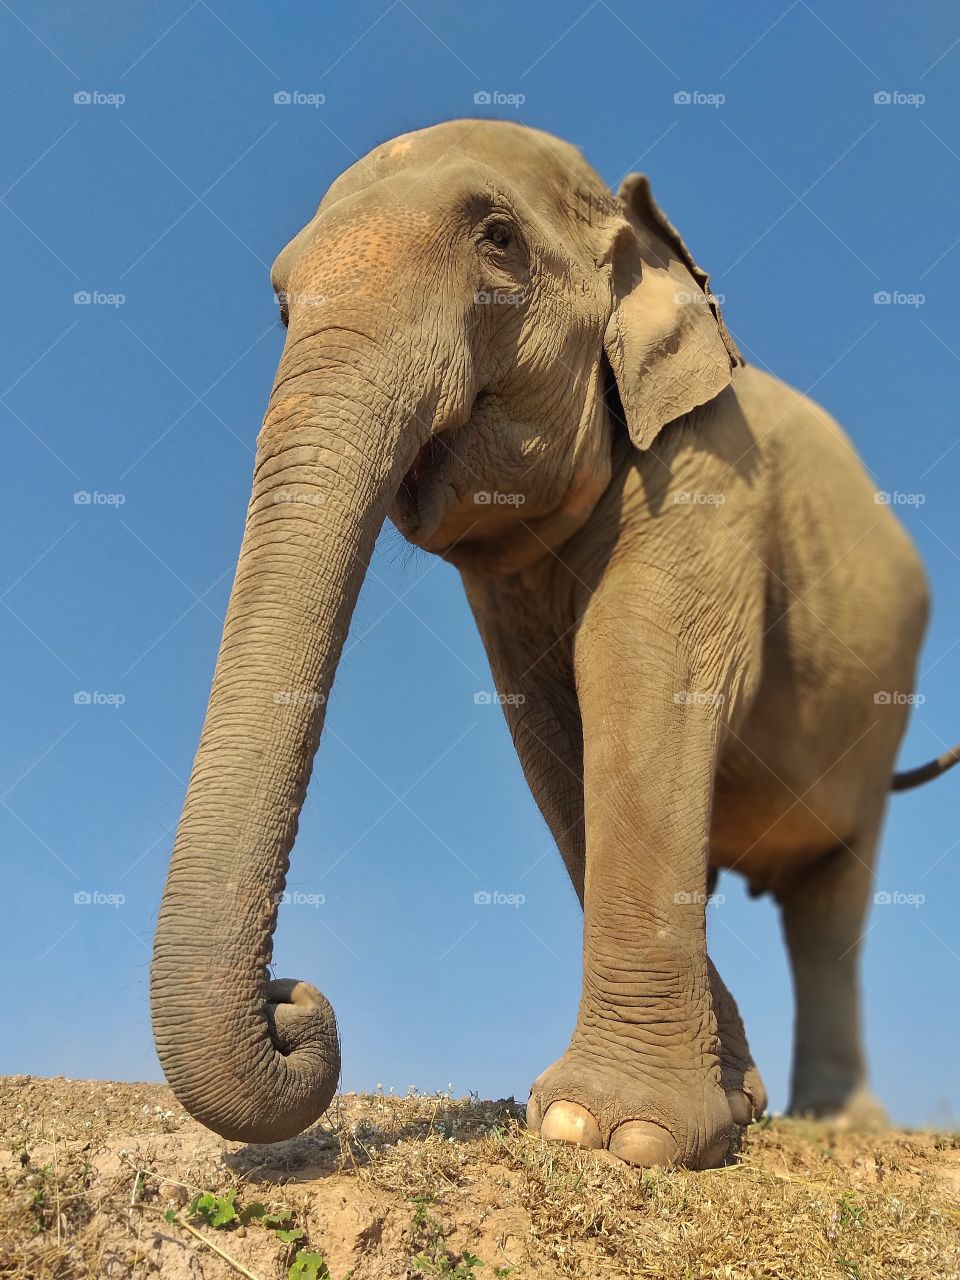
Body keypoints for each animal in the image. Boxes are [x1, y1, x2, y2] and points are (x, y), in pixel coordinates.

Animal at [151, 119, 958, 1168]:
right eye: (281, 302)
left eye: (499, 240)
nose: (296, 1001)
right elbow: (548, 729)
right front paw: (722, 1106)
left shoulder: (704, 471)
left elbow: (635, 671)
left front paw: (617, 1135)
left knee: (831, 900)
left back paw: (837, 1121)